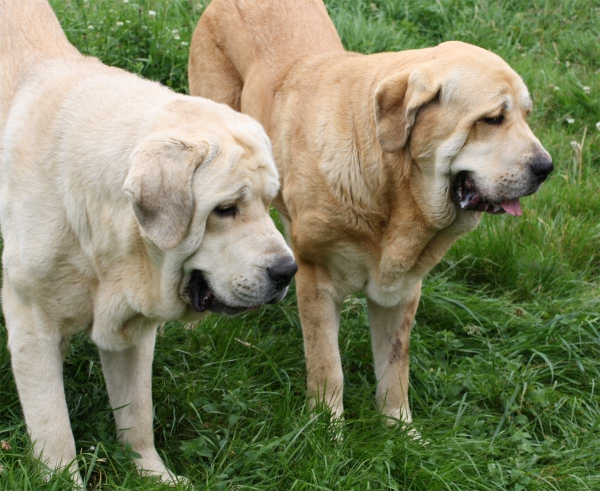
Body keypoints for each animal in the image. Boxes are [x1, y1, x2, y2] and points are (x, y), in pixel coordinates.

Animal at [0, 0, 298, 484]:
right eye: (225, 209)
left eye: (270, 201)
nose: (287, 271)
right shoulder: (32, 321)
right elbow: (54, 427)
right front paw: (63, 480)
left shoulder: (133, 329)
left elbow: (137, 413)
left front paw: (152, 474)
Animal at [189, 0, 552, 428]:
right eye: (492, 119)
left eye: (526, 115)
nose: (546, 167)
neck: (392, 191)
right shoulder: (317, 279)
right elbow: (328, 367)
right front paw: (328, 429)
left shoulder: (401, 292)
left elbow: (395, 368)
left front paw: (400, 429)